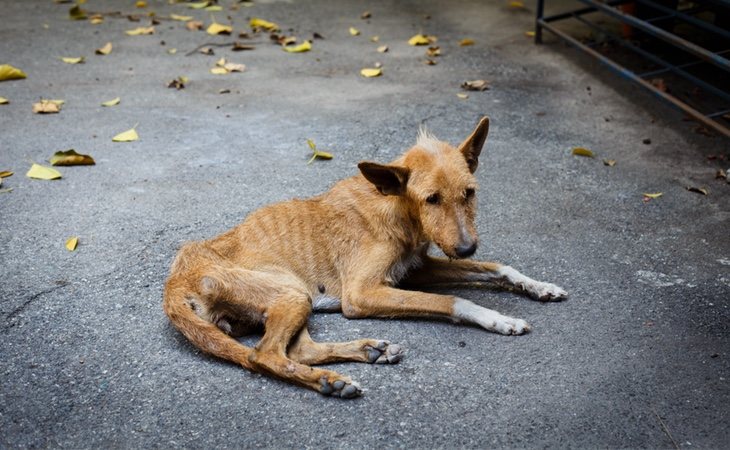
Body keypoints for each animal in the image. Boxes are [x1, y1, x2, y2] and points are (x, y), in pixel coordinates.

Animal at [162, 116, 564, 398]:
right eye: (431, 199)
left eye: (470, 192)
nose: (466, 247)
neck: (397, 208)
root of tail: (175, 281)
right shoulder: (362, 293)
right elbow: (451, 301)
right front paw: (498, 318)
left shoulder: (414, 269)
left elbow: (496, 267)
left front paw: (539, 286)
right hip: (291, 292)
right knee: (264, 356)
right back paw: (330, 380)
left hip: (293, 297)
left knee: (299, 351)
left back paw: (366, 353)